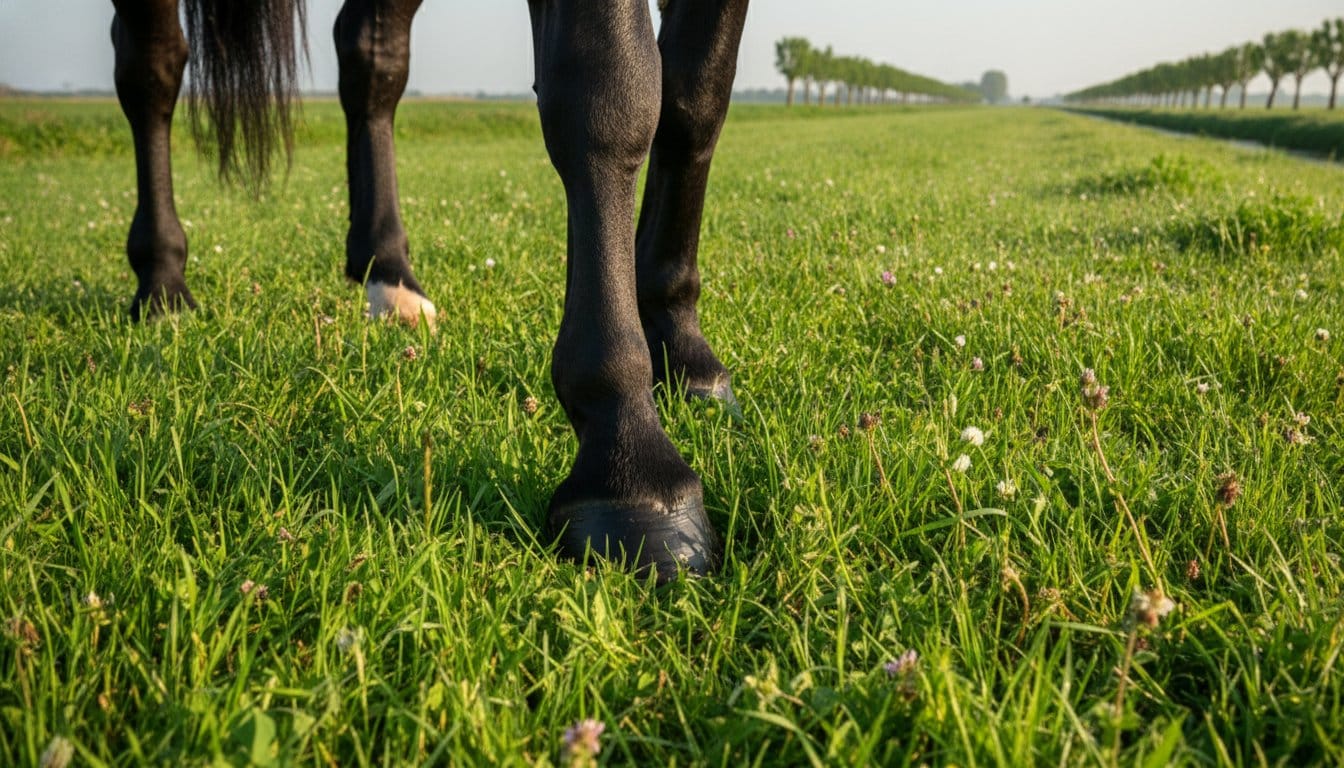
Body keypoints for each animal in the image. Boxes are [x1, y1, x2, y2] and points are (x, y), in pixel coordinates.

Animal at [109, 0, 750, 583]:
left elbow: (697, 95)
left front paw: (680, 347)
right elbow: (612, 93)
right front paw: (631, 464)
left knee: (371, 52)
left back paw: (387, 272)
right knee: (151, 64)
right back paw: (162, 284)